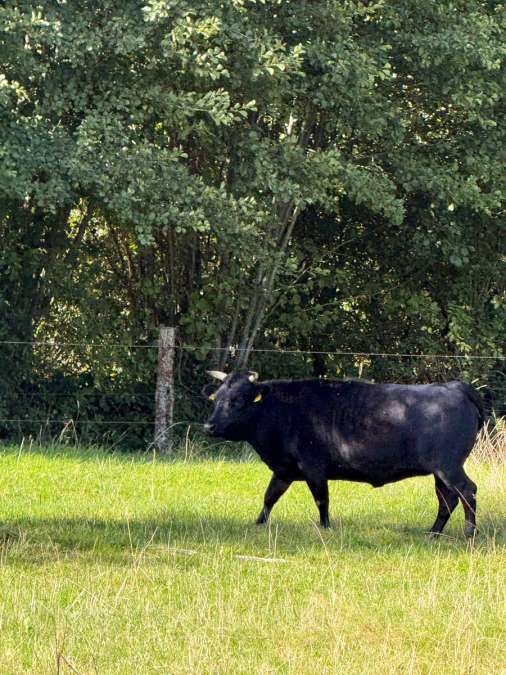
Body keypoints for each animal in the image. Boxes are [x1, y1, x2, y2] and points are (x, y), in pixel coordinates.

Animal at [203, 370, 484, 537]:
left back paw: (469, 533)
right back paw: (433, 532)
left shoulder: (314, 468)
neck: (281, 410)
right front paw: (258, 524)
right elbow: (269, 497)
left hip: (449, 466)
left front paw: (325, 527)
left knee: (467, 491)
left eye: (238, 400)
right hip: (440, 471)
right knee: (447, 499)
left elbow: (322, 500)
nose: (209, 426)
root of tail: (454, 386)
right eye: (216, 398)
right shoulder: (284, 470)